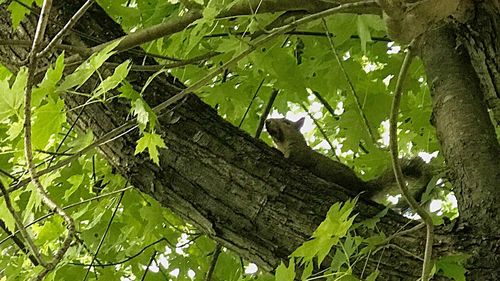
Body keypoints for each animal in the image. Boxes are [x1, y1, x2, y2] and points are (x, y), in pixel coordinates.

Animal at [266, 116, 434, 206]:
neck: (286, 144)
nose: (267, 121)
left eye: (286, 122)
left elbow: (293, 160)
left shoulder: (301, 156)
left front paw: (276, 151)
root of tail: (362, 185)